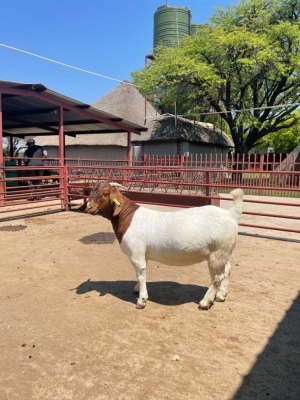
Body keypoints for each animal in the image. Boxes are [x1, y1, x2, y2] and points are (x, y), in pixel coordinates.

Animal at [84, 181, 244, 310]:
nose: (88, 207)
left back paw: (205, 302)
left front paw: (141, 300)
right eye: (91, 191)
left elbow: (140, 274)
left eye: (104, 194)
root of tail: (231, 214)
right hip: (223, 251)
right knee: (227, 270)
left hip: (217, 252)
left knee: (217, 277)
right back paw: (221, 295)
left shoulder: (136, 253)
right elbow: (140, 273)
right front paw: (137, 289)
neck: (128, 218)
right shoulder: (143, 254)